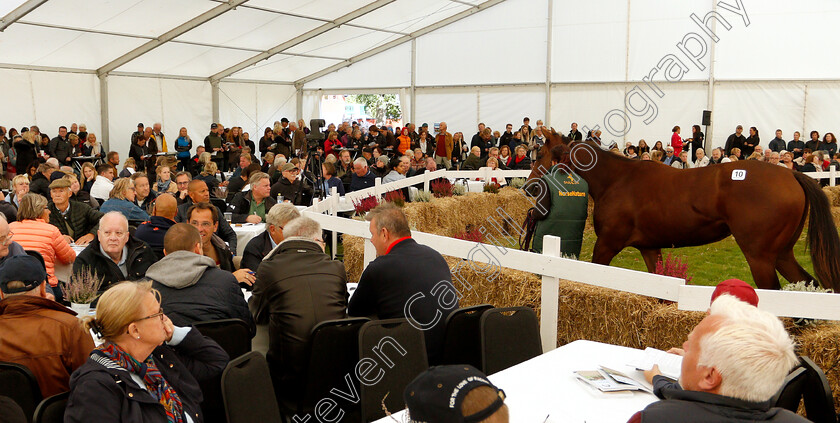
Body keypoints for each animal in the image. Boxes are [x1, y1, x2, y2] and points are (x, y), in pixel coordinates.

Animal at [528, 128, 840, 292]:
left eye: (540, 154)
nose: (530, 187)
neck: (618, 180)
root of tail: (792, 176)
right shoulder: (650, 247)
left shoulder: (607, 244)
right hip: (782, 253)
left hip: (760, 256)